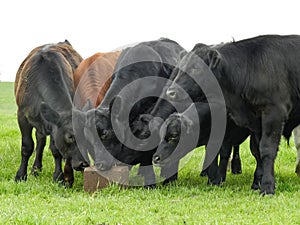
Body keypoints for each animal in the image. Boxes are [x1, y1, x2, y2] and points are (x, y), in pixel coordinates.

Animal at [14, 40, 88, 186]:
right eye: (70, 136)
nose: (84, 164)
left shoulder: (55, 125)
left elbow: (56, 150)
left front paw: (59, 177)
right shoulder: (22, 116)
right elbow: (27, 146)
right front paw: (20, 176)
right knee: (40, 141)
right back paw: (36, 169)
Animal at [166, 34, 300, 194]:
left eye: (196, 68)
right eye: (180, 67)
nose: (170, 92)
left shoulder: (273, 113)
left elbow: (267, 149)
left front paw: (267, 186)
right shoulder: (256, 124)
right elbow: (258, 151)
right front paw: (257, 182)